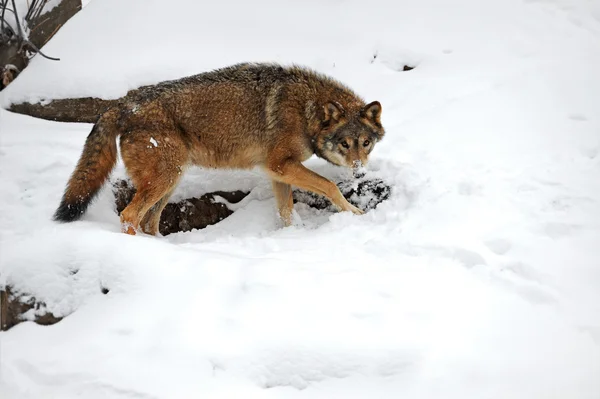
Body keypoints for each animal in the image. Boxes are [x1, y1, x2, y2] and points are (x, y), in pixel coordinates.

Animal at [54, 62, 386, 234]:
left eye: (365, 143)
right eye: (344, 144)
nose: (359, 173)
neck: (308, 111)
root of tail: (121, 103)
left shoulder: (278, 172)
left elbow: (286, 212)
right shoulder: (282, 165)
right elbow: (330, 186)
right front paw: (355, 213)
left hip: (171, 181)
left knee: (149, 222)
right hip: (166, 178)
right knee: (128, 216)